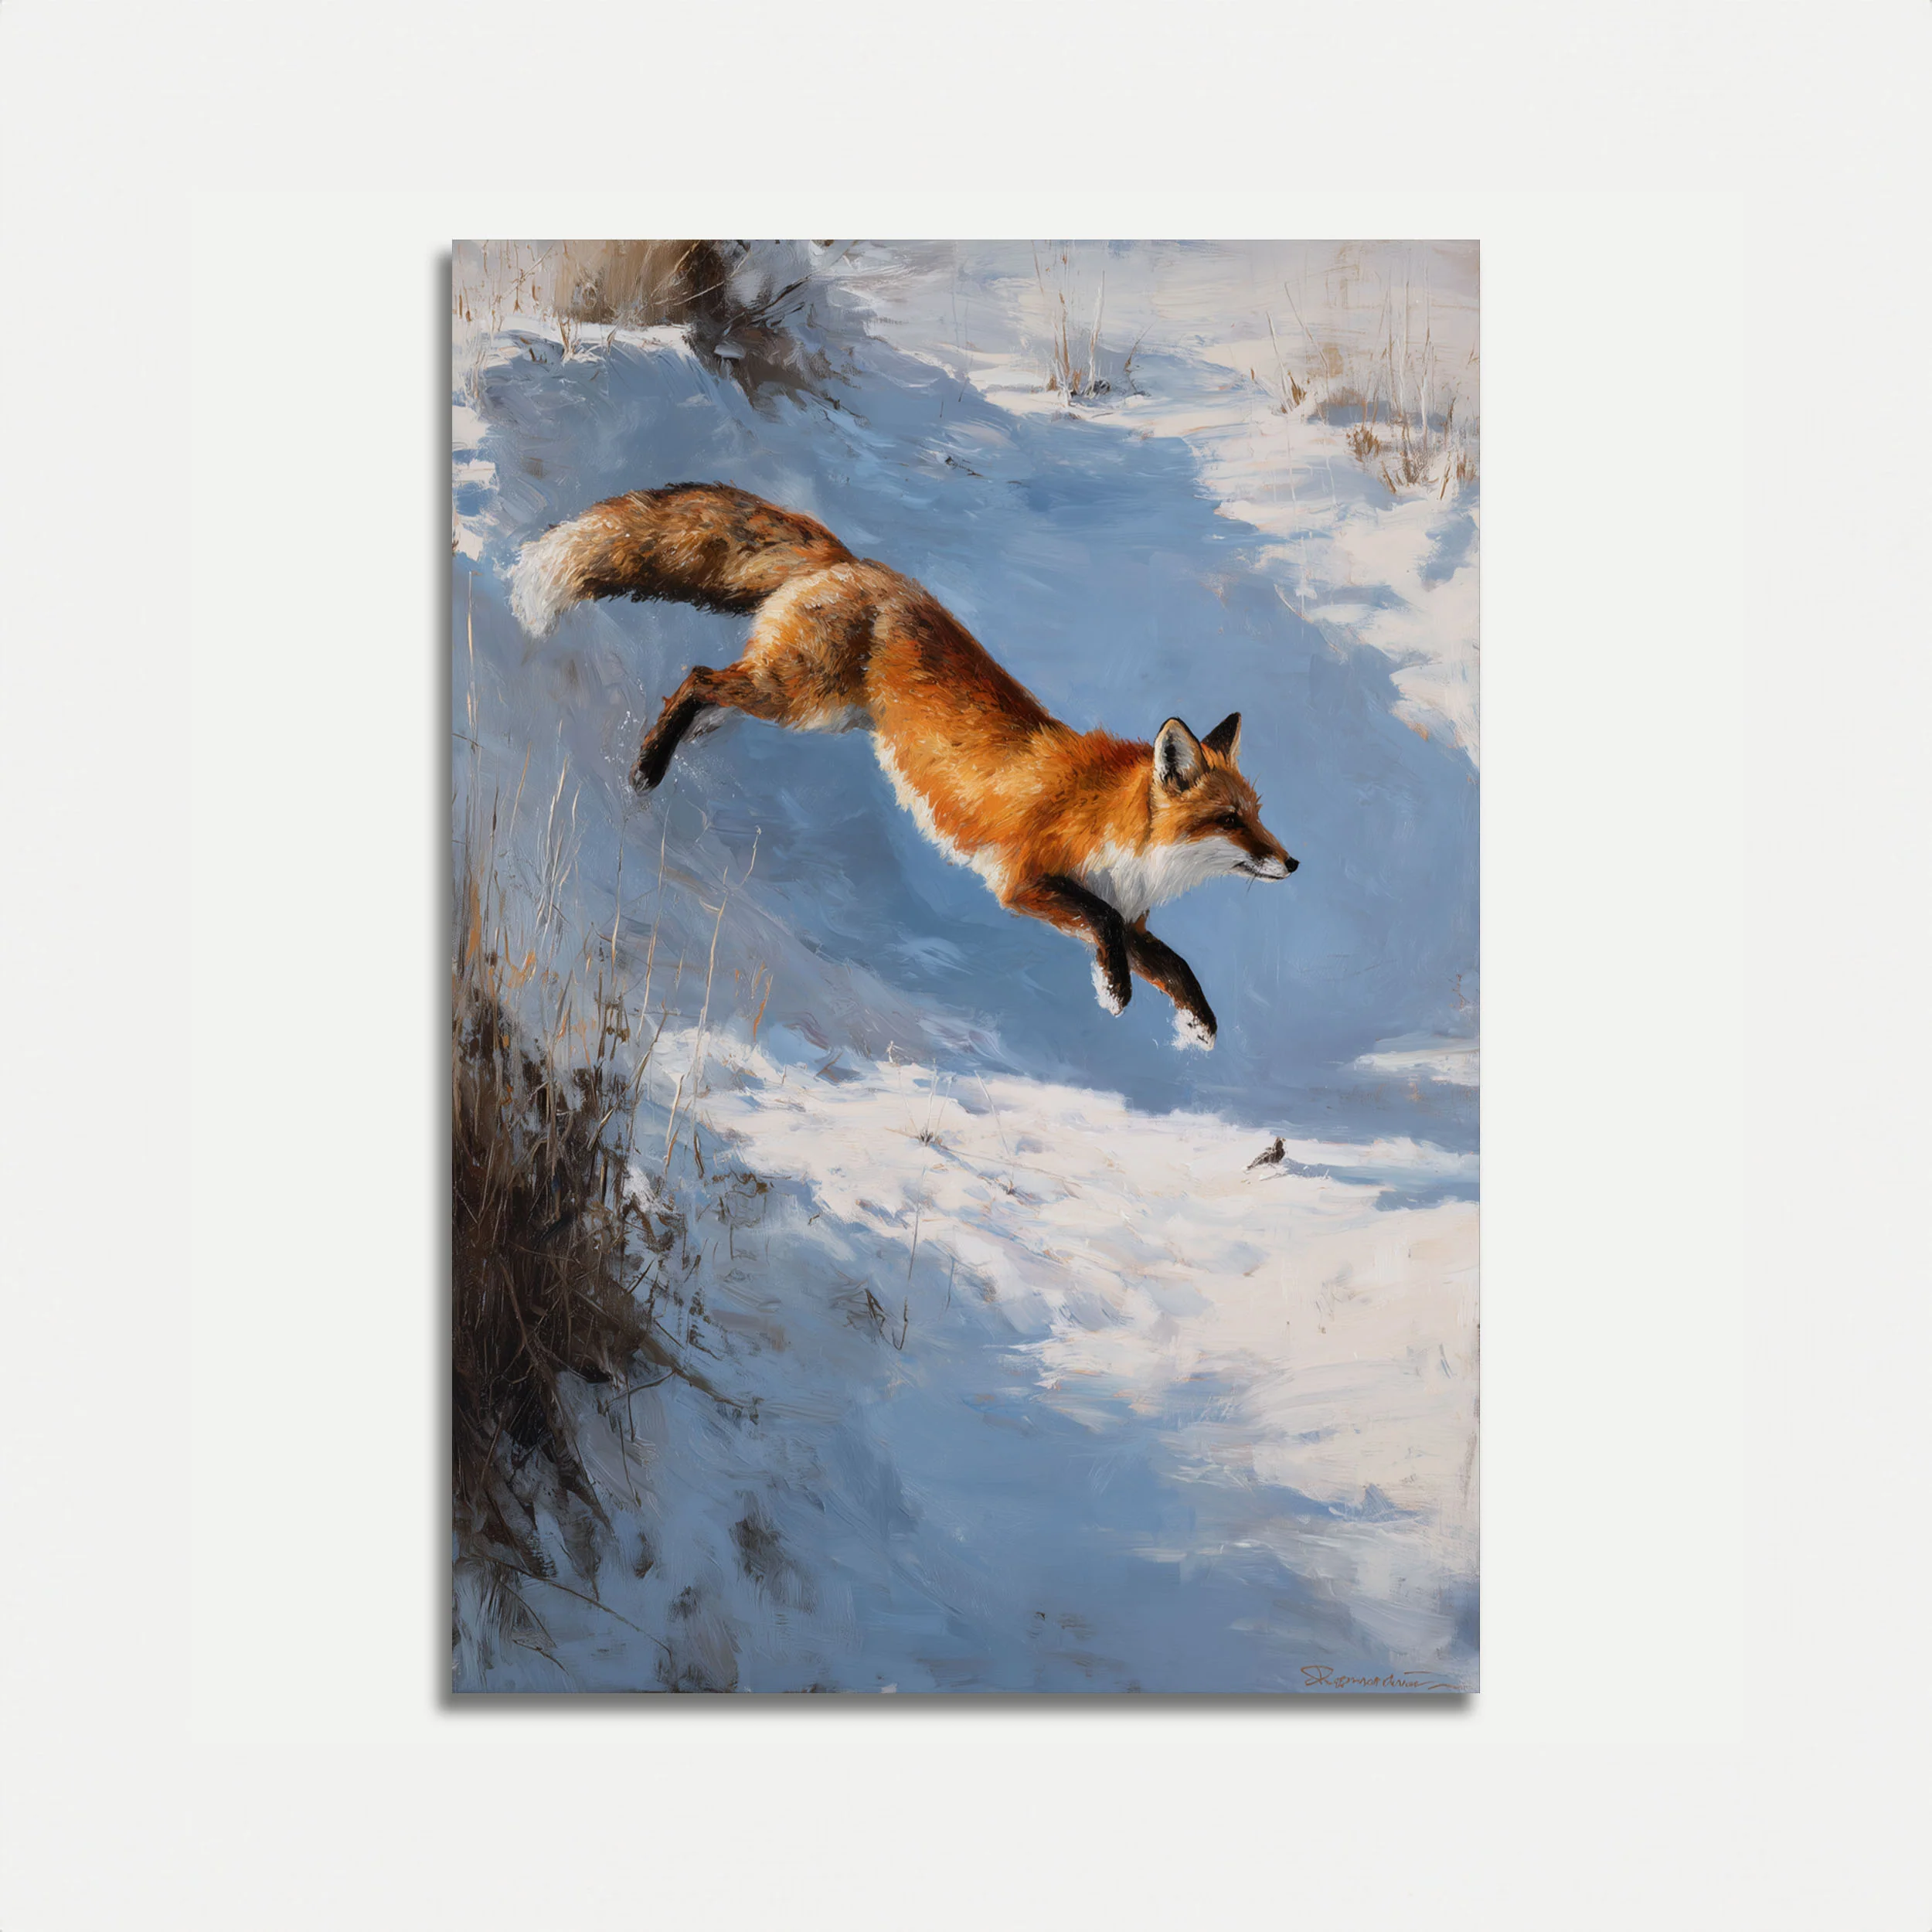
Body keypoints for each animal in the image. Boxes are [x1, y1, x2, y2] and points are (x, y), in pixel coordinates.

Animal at [509, 483, 1297, 1049]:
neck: (1126, 838)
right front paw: (1117, 994)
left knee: (710, 692)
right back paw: (647, 767)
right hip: (800, 698)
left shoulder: (1133, 919)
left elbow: (1176, 963)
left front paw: (1199, 1023)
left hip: (799, 704)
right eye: (1230, 819)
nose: (1292, 864)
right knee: (699, 676)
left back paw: (671, 748)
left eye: (1260, 815)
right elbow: (1100, 923)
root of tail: (855, 561)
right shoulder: (1026, 881)